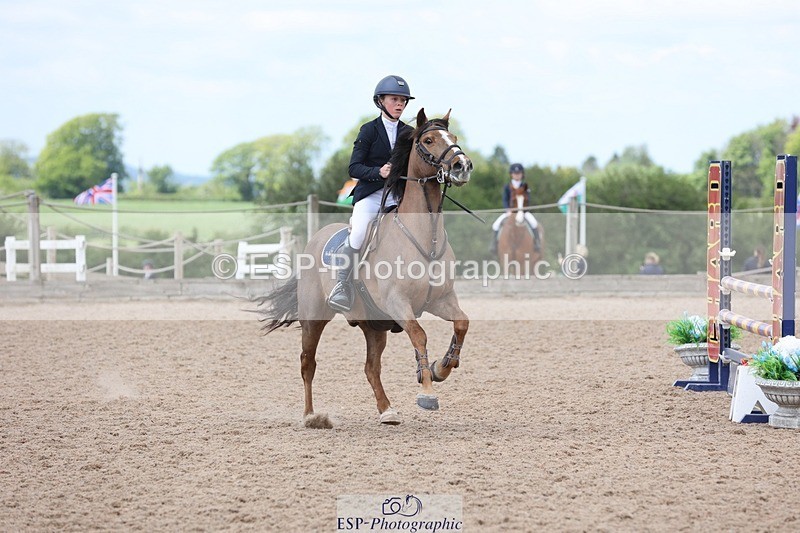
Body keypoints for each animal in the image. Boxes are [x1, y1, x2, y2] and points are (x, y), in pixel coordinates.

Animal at [256, 108, 473, 426]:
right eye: (429, 140)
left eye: (454, 136)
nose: (462, 165)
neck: (425, 237)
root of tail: (316, 238)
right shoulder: (398, 302)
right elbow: (419, 335)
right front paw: (427, 391)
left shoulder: (441, 300)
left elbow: (462, 323)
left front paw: (440, 368)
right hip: (314, 318)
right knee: (308, 362)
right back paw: (311, 416)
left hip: (374, 325)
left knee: (371, 368)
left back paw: (387, 411)